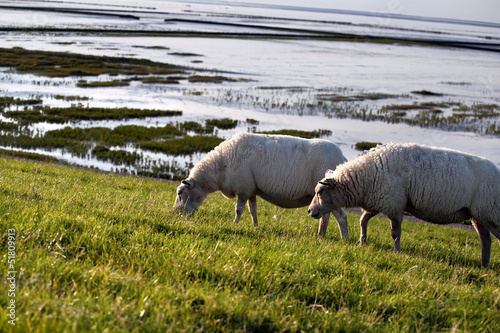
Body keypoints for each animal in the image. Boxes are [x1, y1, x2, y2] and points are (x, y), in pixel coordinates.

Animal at [174, 131, 350, 237]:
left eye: (180, 192)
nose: (176, 214)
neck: (220, 168)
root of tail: (343, 159)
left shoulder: (243, 189)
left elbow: (238, 210)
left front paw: (235, 224)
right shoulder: (251, 189)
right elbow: (253, 211)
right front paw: (255, 227)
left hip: (332, 194)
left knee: (342, 217)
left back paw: (345, 240)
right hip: (324, 198)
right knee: (325, 216)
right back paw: (321, 235)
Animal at [308, 141, 500, 266]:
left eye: (320, 192)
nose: (310, 211)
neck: (368, 176)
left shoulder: (395, 205)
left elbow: (395, 233)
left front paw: (397, 252)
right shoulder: (380, 201)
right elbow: (363, 220)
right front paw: (362, 242)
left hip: (490, 213)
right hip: (478, 216)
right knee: (486, 240)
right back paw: (484, 265)